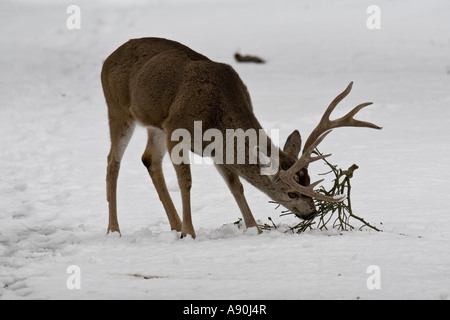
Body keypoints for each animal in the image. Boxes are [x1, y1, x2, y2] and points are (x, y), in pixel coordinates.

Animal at [101, 37, 380, 238]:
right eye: (291, 193)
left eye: (309, 180)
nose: (311, 213)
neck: (215, 113)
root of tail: (108, 58)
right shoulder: (175, 129)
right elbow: (186, 182)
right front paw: (189, 234)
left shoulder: (213, 148)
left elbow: (236, 185)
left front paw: (254, 229)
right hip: (118, 107)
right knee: (113, 160)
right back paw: (114, 230)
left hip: (153, 124)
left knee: (149, 159)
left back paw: (174, 225)